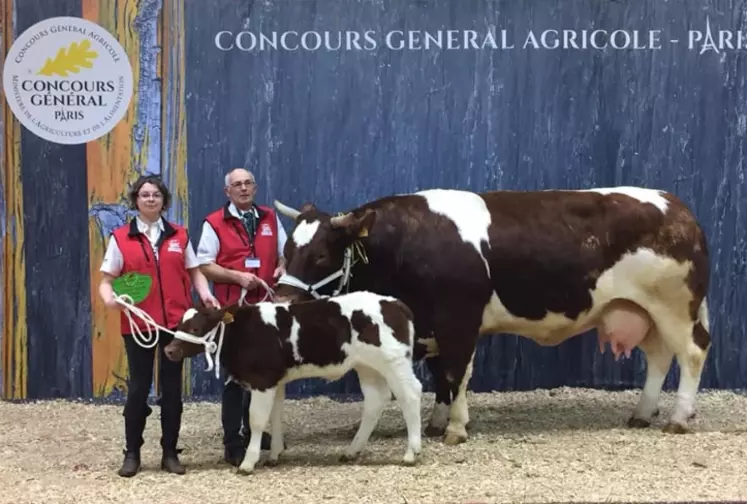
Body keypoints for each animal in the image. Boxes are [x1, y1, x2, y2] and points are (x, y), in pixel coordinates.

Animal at [162, 290, 420, 474]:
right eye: (180, 325)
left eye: (196, 327)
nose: (169, 350)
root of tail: (394, 302)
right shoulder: (276, 380)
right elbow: (275, 415)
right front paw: (274, 455)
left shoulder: (262, 380)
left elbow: (257, 419)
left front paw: (248, 463)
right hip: (367, 366)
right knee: (376, 401)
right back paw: (351, 451)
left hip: (394, 360)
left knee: (410, 394)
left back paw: (412, 453)